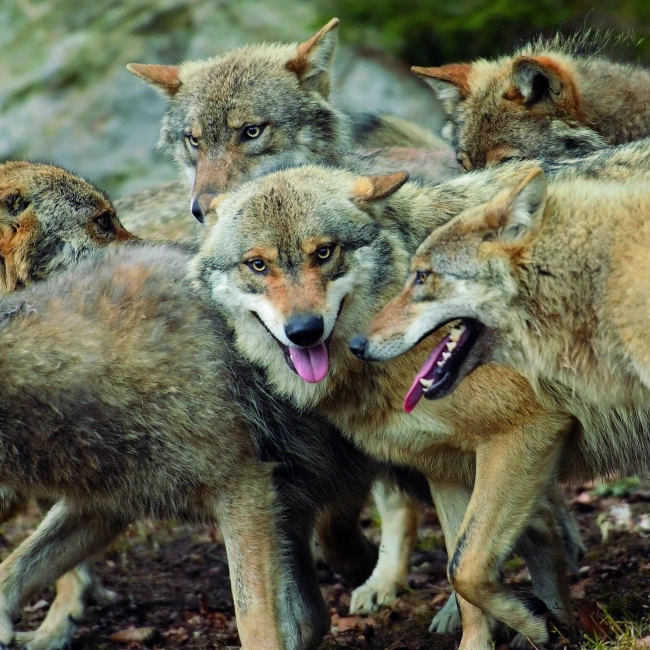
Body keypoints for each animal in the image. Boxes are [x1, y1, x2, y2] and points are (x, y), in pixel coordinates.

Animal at [191, 165, 592, 650]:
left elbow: (467, 566)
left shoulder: (526, 430)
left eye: (324, 252)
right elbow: (468, 571)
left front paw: (536, 621)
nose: (305, 331)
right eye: (257, 264)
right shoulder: (450, 462)